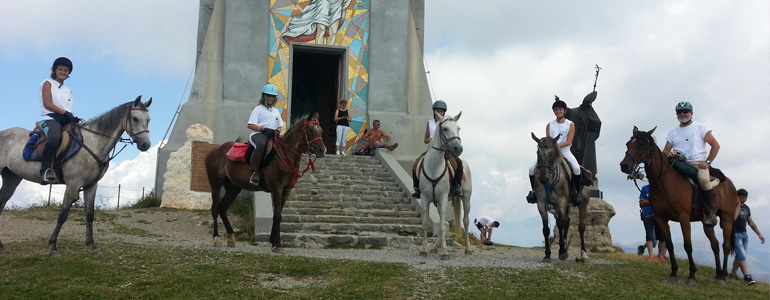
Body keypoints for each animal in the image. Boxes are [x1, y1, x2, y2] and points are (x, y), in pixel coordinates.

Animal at [0, 97, 152, 256]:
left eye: (148, 120)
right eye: (135, 118)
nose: (145, 144)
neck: (93, 143)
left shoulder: (91, 185)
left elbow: (90, 214)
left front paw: (92, 245)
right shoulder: (73, 184)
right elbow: (63, 214)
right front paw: (53, 246)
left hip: (12, 178)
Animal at [202, 112, 322, 253]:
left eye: (321, 130)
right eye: (310, 130)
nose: (322, 150)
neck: (285, 154)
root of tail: (214, 150)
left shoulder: (286, 191)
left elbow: (278, 215)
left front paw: (274, 242)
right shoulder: (277, 189)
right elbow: (277, 216)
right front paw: (277, 244)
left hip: (233, 188)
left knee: (222, 208)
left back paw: (231, 237)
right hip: (216, 184)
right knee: (215, 208)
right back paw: (216, 238)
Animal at [416, 112, 464, 260]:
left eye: (458, 128)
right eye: (445, 129)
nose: (458, 149)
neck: (434, 167)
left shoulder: (443, 198)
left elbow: (442, 226)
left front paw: (445, 252)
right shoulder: (425, 198)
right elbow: (425, 224)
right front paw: (424, 249)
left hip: (465, 198)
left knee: (465, 220)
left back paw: (468, 249)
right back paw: (434, 247)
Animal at [532, 133, 592, 262]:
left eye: (552, 154)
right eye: (538, 153)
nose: (543, 178)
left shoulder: (562, 202)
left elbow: (560, 223)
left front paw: (562, 251)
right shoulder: (541, 204)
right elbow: (546, 229)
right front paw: (547, 255)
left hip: (582, 204)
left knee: (581, 227)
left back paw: (583, 254)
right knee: (567, 221)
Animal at [616, 125, 736, 284]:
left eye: (641, 144)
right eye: (628, 144)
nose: (624, 165)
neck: (663, 182)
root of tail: (730, 184)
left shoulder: (684, 218)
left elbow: (688, 246)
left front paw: (692, 275)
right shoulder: (661, 218)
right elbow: (670, 245)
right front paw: (673, 273)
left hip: (727, 219)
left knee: (726, 246)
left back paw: (722, 276)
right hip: (707, 223)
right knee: (715, 245)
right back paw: (717, 274)